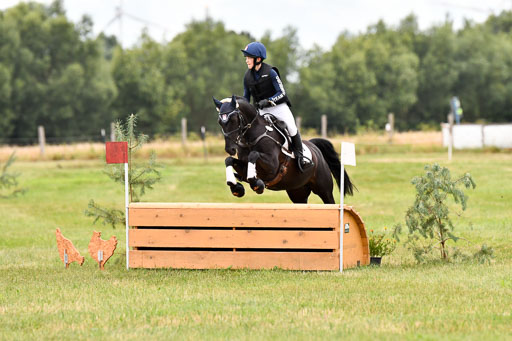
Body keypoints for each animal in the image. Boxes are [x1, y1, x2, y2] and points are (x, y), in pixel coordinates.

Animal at [214, 94, 354, 203]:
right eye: (220, 122)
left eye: (233, 120)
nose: (230, 149)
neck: (252, 136)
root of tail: (314, 147)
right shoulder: (243, 166)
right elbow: (229, 160)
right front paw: (236, 187)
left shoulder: (272, 166)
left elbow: (253, 155)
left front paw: (256, 184)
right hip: (297, 192)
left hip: (324, 189)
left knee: (330, 201)